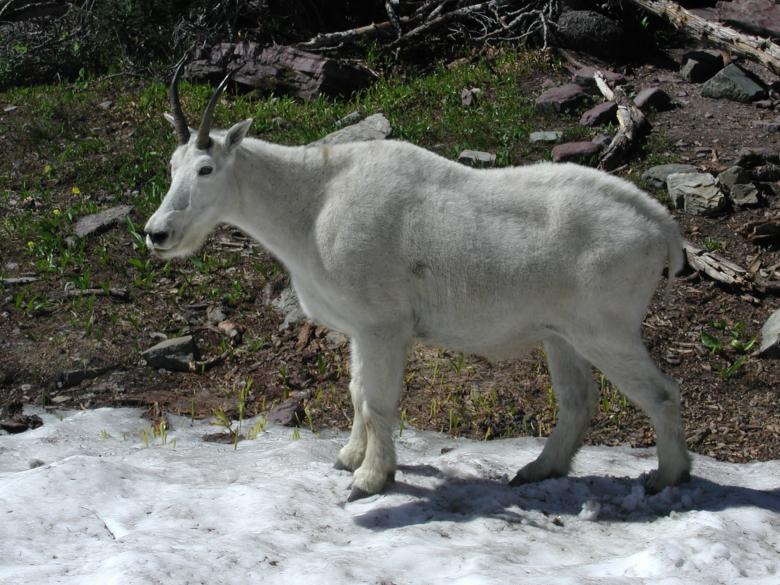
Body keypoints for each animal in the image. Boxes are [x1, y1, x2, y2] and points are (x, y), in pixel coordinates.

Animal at [145, 64, 690, 501]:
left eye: (206, 168)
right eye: (171, 166)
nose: (157, 233)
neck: (312, 204)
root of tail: (662, 229)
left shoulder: (383, 325)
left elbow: (375, 401)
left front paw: (368, 480)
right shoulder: (362, 331)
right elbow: (355, 391)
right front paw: (348, 458)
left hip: (607, 330)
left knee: (663, 393)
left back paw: (667, 478)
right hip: (563, 336)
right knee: (578, 401)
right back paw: (537, 470)